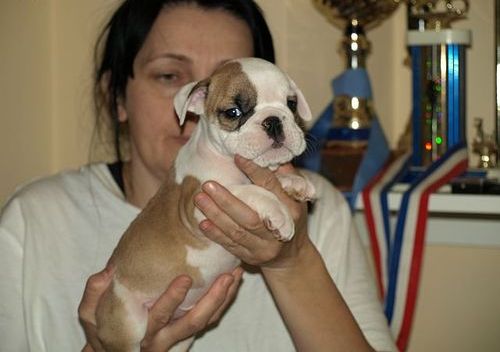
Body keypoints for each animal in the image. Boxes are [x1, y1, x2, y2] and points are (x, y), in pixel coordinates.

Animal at [94, 56, 316, 350]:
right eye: (233, 112)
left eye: (291, 104)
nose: (273, 121)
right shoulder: (202, 201)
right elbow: (251, 191)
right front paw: (279, 213)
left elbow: (269, 181)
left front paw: (295, 182)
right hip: (128, 323)